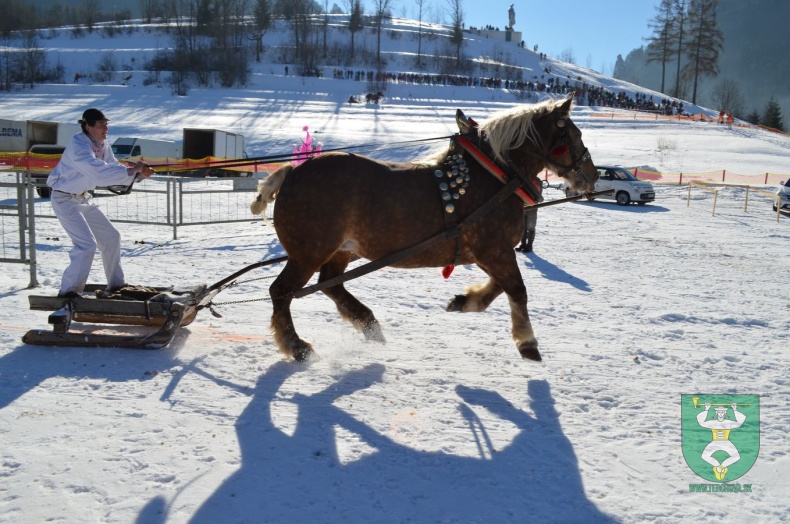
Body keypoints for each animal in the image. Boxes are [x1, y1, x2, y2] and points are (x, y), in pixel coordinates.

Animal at [251, 93, 596, 360]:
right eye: (575, 134)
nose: (591, 175)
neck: (495, 176)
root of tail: (292, 173)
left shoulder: (486, 253)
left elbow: (501, 287)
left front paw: (464, 302)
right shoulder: (494, 250)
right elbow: (517, 289)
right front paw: (527, 342)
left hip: (341, 250)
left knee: (330, 284)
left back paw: (369, 325)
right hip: (308, 253)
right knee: (281, 292)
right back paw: (297, 346)